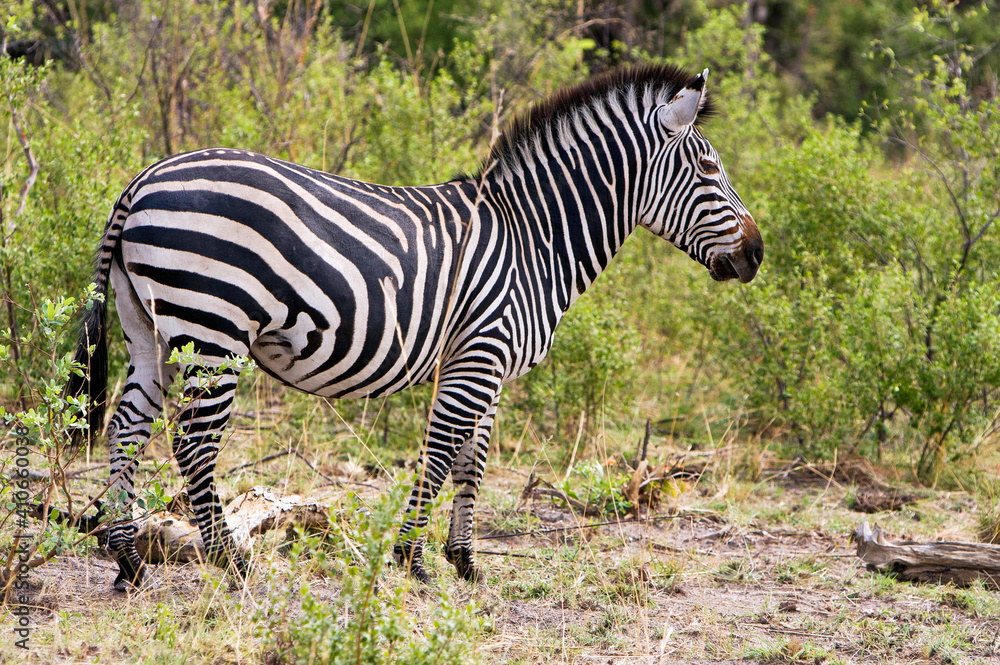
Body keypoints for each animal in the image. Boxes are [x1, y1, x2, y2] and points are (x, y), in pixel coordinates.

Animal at [67, 63, 762, 589]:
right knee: (194, 444)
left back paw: (127, 560)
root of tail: (141, 180)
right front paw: (411, 560)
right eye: (707, 171)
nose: (757, 255)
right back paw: (229, 561)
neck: (532, 238)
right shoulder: (479, 355)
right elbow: (440, 455)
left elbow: (473, 462)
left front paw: (464, 561)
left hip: (147, 328)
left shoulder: (486, 363)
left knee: (128, 427)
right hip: (214, 327)